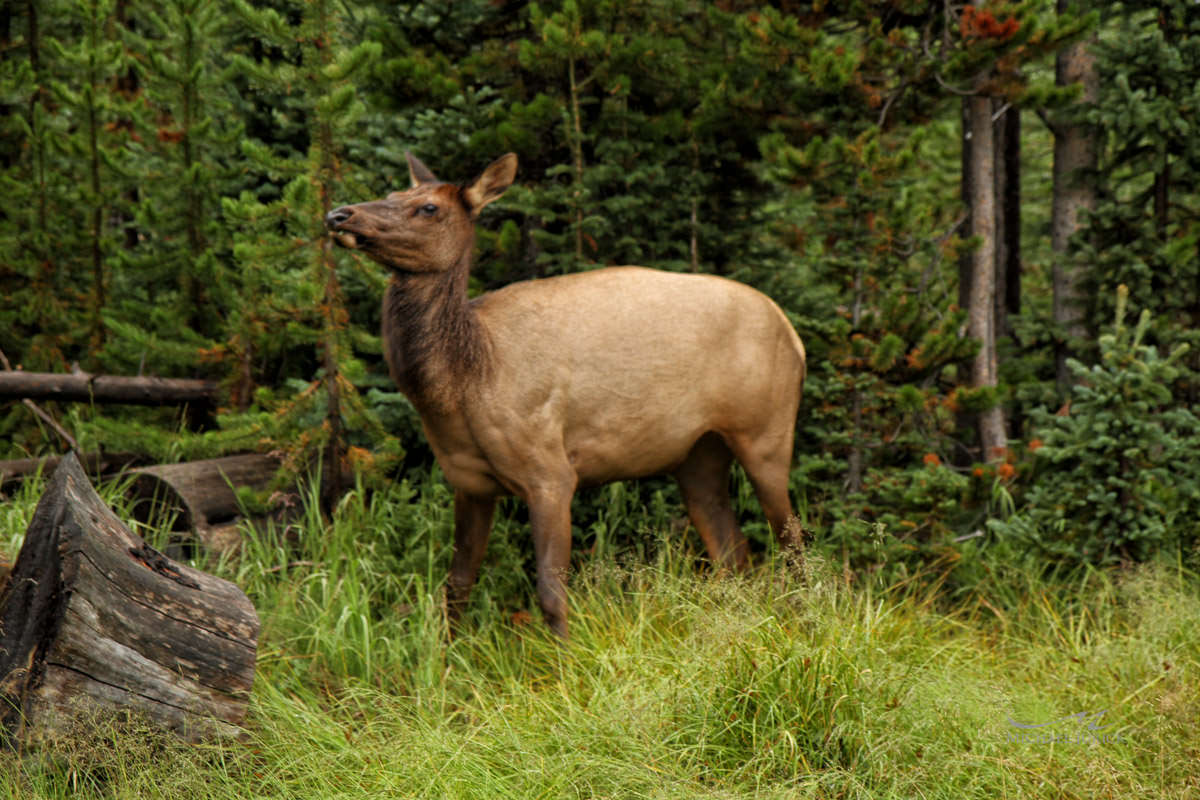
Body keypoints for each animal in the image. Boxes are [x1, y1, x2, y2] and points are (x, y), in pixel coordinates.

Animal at [326, 151, 806, 638]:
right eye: (392, 192)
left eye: (428, 207)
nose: (339, 214)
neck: (466, 382)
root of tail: (792, 332)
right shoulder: (469, 482)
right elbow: (456, 588)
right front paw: (447, 656)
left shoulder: (551, 471)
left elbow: (551, 594)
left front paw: (563, 658)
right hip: (696, 454)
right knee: (734, 553)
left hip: (766, 431)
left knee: (792, 542)